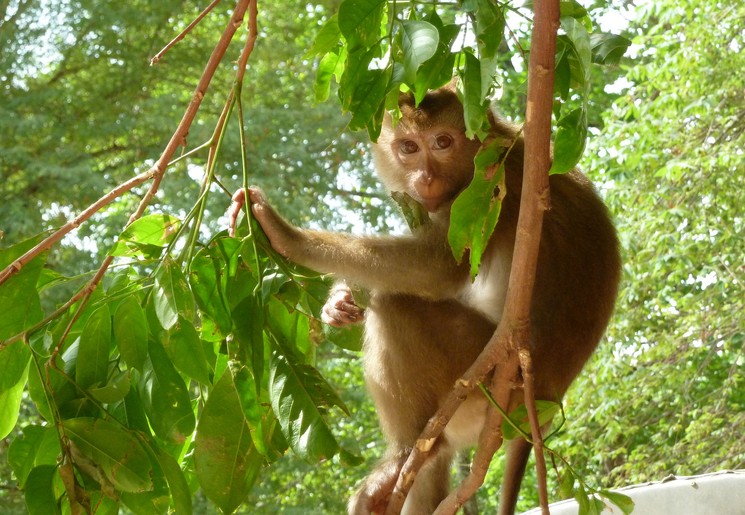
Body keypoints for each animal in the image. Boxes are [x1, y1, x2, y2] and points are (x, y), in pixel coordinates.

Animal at [228, 86, 620, 512]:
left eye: (442, 143)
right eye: (409, 147)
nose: (425, 178)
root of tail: (547, 398)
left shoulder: (493, 183)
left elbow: (440, 269)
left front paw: (286, 236)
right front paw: (340, 303)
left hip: (484, 375)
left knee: (394, 305)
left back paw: (406, 454)